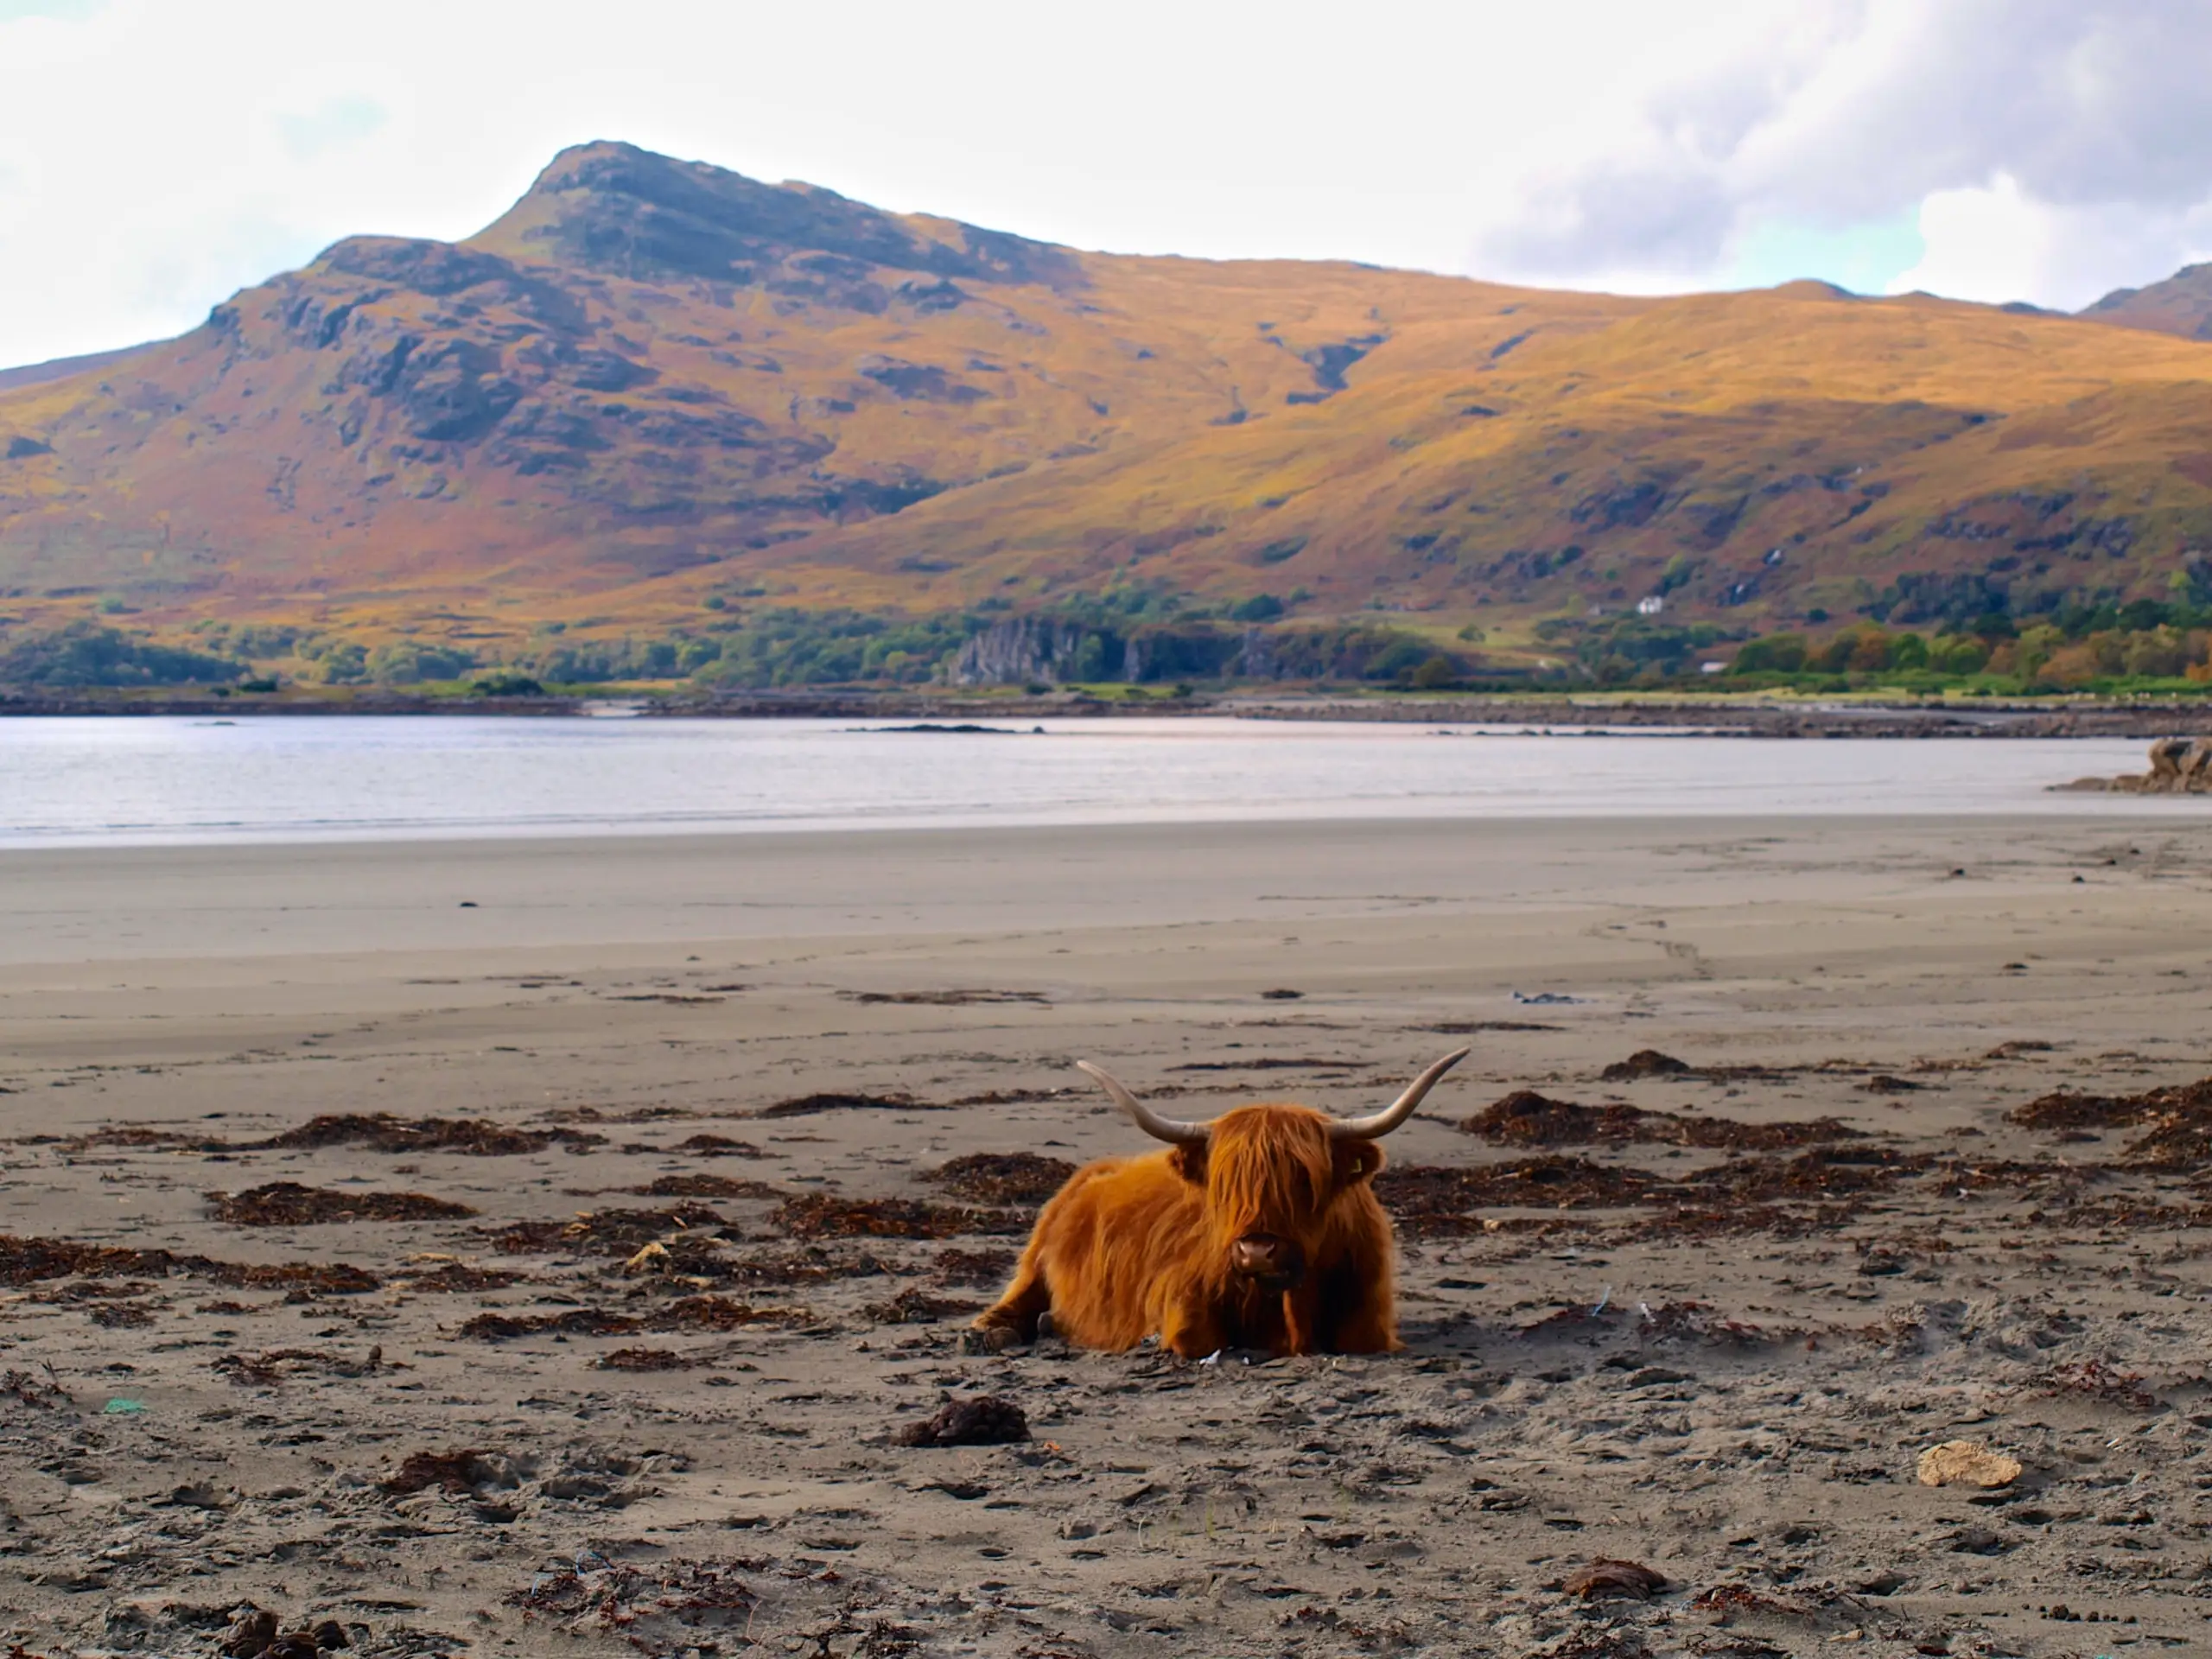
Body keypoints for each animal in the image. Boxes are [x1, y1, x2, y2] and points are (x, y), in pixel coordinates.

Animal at [974, 1048, 1468, 1358]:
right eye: (1224, 1184)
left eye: (1304, 1179)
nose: (1257, 1251)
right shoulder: (1180, 1297)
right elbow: (1199, 1339)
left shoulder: (1369, 1316)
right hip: (1035, 1256)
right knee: (1014, 1300)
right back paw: (997, 1334)